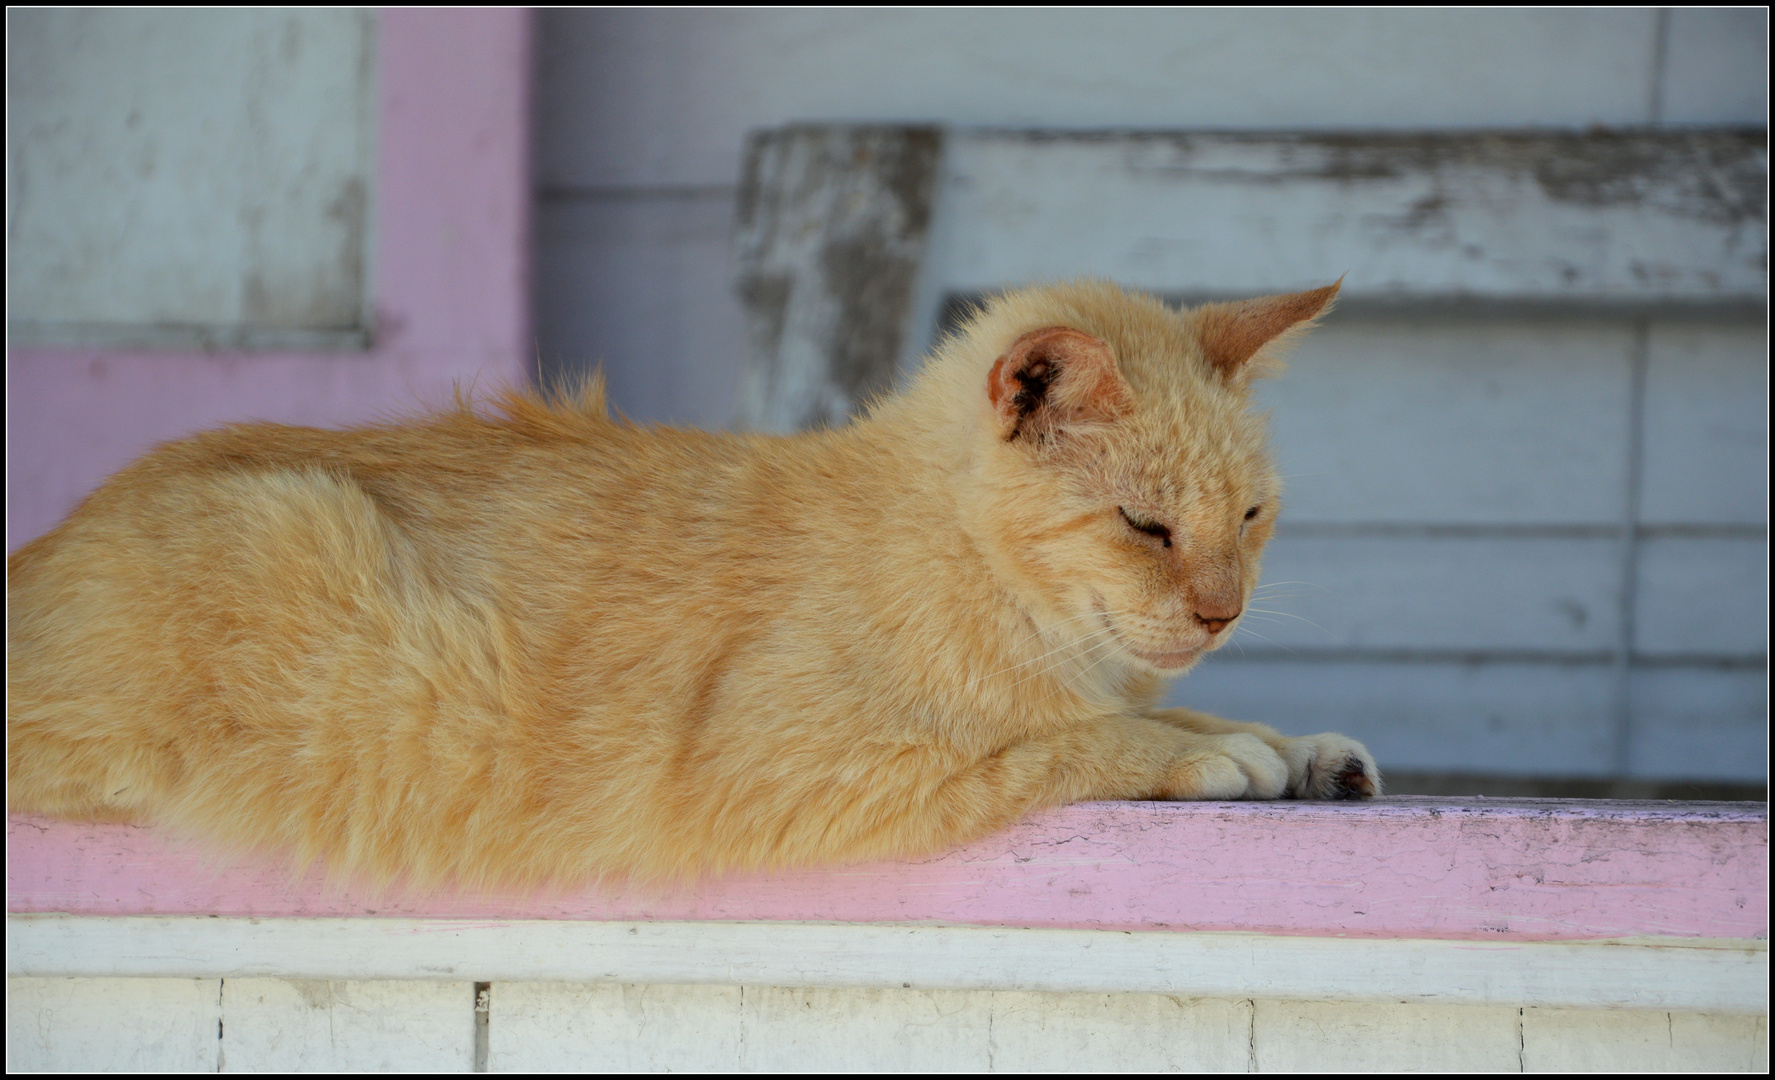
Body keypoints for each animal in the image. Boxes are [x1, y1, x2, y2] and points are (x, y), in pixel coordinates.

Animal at [6, 278, 1377, 884]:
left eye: (1248, 519)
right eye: (1144, 526)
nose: (1221, 609)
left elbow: (1164, 705)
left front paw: (1296, 746)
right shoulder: (797, 774)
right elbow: (1069, 743)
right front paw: (1213, 757)